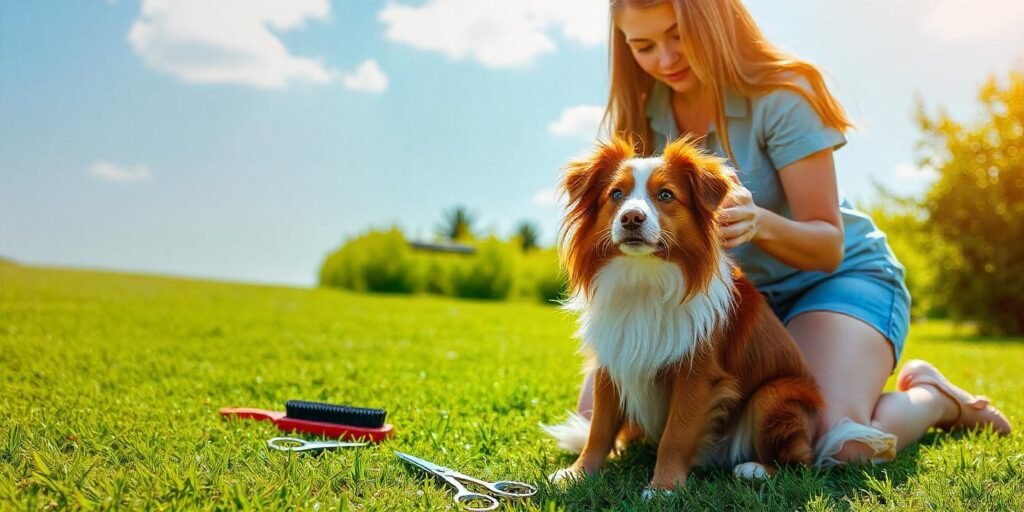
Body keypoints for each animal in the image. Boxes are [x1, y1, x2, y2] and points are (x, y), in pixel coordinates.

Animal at [544, 135, 823, 491]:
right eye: (616, 194)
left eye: (666, 195)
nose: (630, 218)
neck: (644, 276)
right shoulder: (613, 357)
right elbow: (600, 428)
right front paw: (578, 473)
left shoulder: (697, 372)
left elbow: (676, 434)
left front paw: (662, 488)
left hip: (775, 394)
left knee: (802, 463)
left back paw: (754, 469)